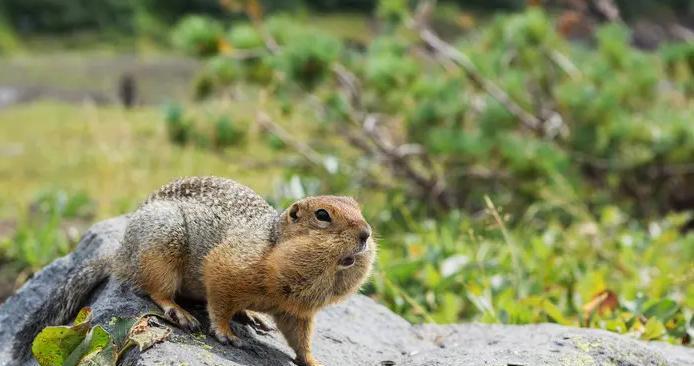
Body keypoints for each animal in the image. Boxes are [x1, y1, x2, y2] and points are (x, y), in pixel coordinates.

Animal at [13, 176, 378, 364]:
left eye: (358, 208)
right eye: (323, 215)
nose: (366, 233)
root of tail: (121, 255)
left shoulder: (296, 312)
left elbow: (300, 338)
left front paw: (312, 360)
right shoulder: (227, 267)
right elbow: (219, 302)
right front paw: (226, 333)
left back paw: (251, 316)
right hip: (160, 249)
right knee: (154, 289)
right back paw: (181, 312)